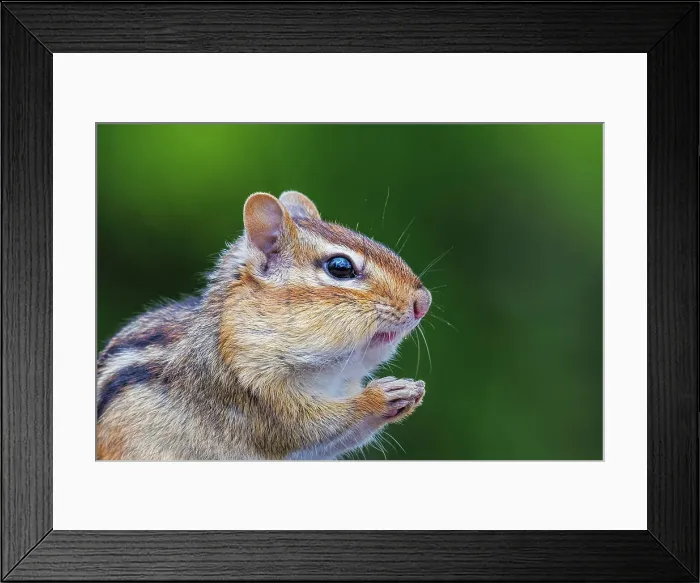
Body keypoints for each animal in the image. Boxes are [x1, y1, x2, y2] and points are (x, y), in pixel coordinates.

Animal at [96, 191, 432, 460]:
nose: (424, 302)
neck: (329, 375)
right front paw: (382, 396)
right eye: (340, 267)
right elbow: (311, 428)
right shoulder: (252, 392)